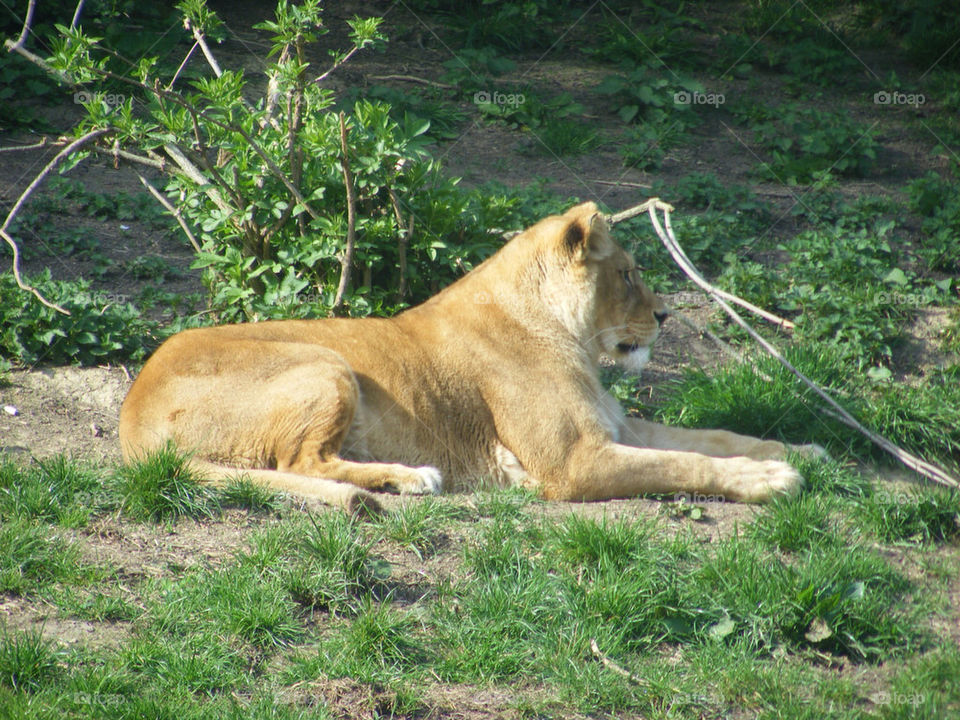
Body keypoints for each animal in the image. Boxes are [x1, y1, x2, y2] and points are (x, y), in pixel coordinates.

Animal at [120, 202, 816, 513]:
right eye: (627, 273)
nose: (666, 316)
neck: (571, 338)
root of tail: (130, 418)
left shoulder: (616, 427)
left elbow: (716, 437)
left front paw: (802, 451)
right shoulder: (573, 464)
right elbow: (685, 464)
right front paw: (772, 480)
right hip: (324, 364)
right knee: (302, 461)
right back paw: (410, 478)